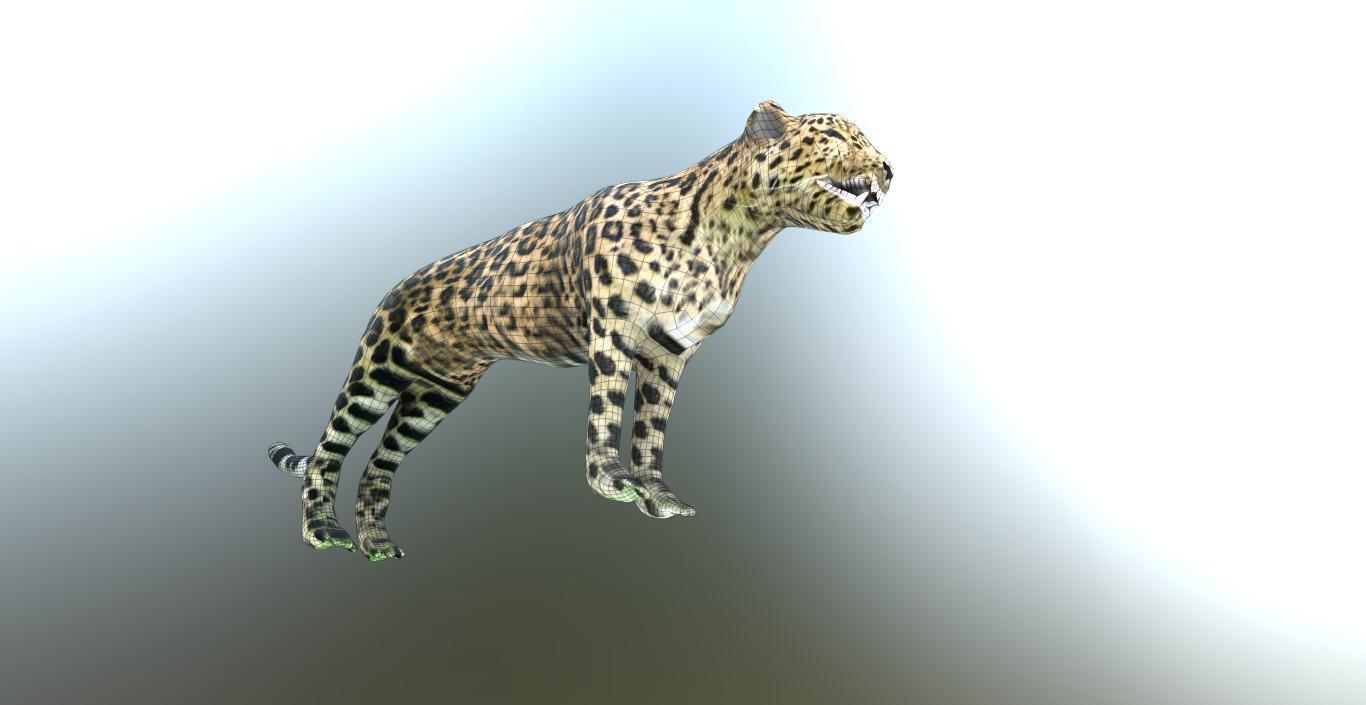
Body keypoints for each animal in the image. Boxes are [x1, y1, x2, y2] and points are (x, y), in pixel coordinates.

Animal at [266, 100, 893, 561]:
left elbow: (651, 430)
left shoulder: (670, 353)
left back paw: (375, 543)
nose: (889, 169)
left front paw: (656, 495)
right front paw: (612, 481)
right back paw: (323, 533)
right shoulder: (611, 334)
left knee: (379, 465)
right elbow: (607, 413)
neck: (735, 237)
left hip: (433, 397)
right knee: (329, 449)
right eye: (836, 137)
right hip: (377, 371)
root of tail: (395, 285)